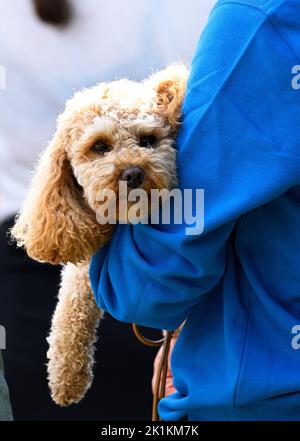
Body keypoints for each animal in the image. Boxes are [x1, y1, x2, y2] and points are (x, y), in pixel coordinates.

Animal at [11, 64, 188, 406]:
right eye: (100, 147)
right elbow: (71, 309)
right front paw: (67, 376)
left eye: (148, 140)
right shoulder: (85, 259)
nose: (133, 172)